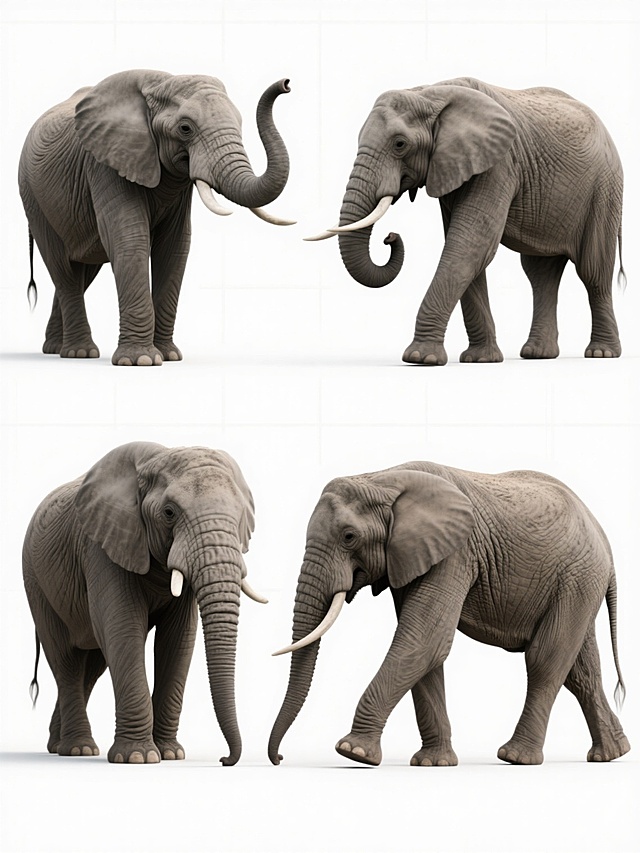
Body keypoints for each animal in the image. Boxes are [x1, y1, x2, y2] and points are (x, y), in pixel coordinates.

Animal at [19, 69, 293, 366]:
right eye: (185, 128)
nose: (286, 84)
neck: (158, 83)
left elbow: (174, 247)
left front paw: (169, 356)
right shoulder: (106, 163)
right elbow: (129, 239)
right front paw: (140, 360)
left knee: (81, 270)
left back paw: (56, 348)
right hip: (33, 199)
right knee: (62, 269)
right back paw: (79, 353)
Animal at [23, 441, 268, 765]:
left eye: (240, 516)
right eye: (169, 512)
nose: (225, 760)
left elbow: (178, 640)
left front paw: (171, 754)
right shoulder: (103, 546)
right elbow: (124, 630)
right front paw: (139, 757)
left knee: (93, 667)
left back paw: (58, 745)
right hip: (37, 584)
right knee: (67, 662)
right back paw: (78, 749)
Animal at [269, 461, 630, 767]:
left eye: (349, 537)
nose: (280, 758)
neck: (382, 478)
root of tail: (603, 536)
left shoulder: (455, 553)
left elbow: (424, 640)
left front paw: (352, 752)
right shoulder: (413, 557)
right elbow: (424, 650)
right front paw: (432, 763)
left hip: (578, 574)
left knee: (546, 660)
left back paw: (516, 757)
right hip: (578, 580)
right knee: (580, 671)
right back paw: (612, 754)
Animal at [308, 77, 624, 366]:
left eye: (400, 144)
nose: (389, 237)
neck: (430, 92)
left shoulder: (498, 165)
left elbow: (470, 246)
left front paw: (420, 357)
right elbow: (465, 249)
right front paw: (480, 359)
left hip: (604, 189)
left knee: (593, 270)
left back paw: (601, 354)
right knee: (540, 274)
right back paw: (538, 354)